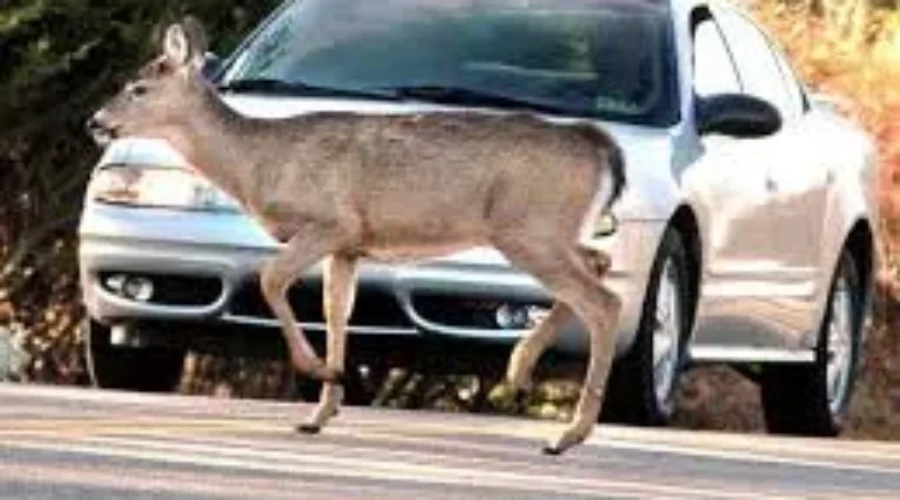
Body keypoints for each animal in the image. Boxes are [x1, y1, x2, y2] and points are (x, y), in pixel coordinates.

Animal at [87, 18, 625, 455]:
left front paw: (320, 372)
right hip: (551, 231)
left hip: (527, 229)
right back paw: (521, 372)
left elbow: (270, 279)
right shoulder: (349, 246)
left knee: (605, 301)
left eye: (137, 88)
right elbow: (335, 311)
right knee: (598, 264)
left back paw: (566, 434)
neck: (261, 163)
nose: (96, 122)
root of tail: (598, 145)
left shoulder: (331, 222)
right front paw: (320, 413)